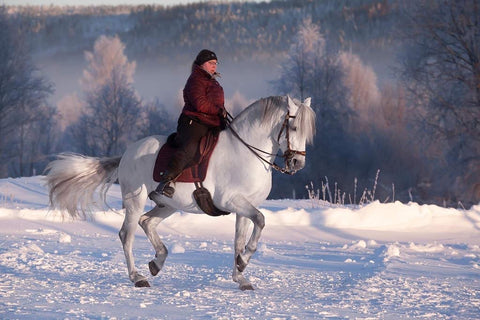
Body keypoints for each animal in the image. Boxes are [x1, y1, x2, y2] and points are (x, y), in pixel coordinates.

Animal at [45, 95, 316, 290]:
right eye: (293, 127)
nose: (297, 163)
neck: (246, 152)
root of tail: (128, 153)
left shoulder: (243, 208)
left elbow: (241, 239)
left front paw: (241, 275)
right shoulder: (233, 202)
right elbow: (260, 220)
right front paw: (243, 262)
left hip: (168, 204)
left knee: (147, 222)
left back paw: (157, 262)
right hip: (135, 200)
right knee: (127, 234)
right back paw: (138, 277)